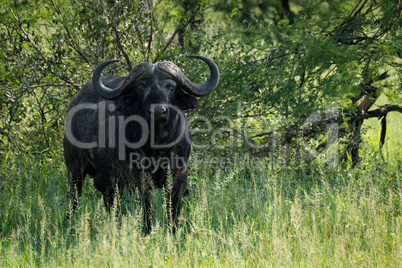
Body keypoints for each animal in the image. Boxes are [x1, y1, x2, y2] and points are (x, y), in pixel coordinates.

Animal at [63, 55, 220, 233]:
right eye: (140, 88)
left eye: (171, 87)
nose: (158, 111)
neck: (157, 143)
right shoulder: (136, 174)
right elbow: (146, 205)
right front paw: (146, 231)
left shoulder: (179, 172)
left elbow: (173, 205)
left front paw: (174, 232)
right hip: (75, 166)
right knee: (73, 197)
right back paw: (67, 227)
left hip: (111, 179)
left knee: (111, 203)